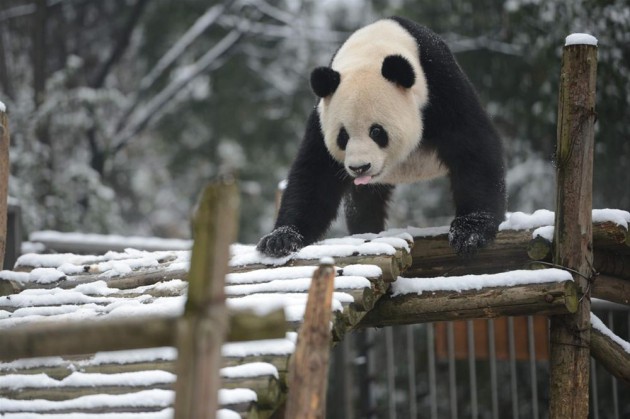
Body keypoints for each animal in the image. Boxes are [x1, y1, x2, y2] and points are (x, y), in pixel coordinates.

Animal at [256, 16, 508, 258]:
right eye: (342, 136)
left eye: (376, 132)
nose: (359, 167)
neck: (371, 51)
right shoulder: (321, 116)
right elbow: (314, 175)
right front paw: (280, 239)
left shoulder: (440, 86)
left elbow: (472, 146)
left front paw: (470, 232)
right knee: (363, 203)